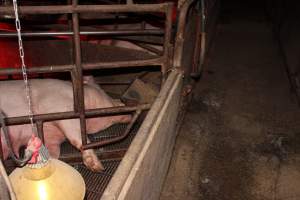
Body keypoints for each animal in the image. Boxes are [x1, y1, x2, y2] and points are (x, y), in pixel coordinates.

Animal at [0, 77, 131, 172]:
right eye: (106, 94)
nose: (124, 103)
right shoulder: (62, 108)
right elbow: (77, 138)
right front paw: (98, 167)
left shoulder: (51, 139)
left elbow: (52, 154)